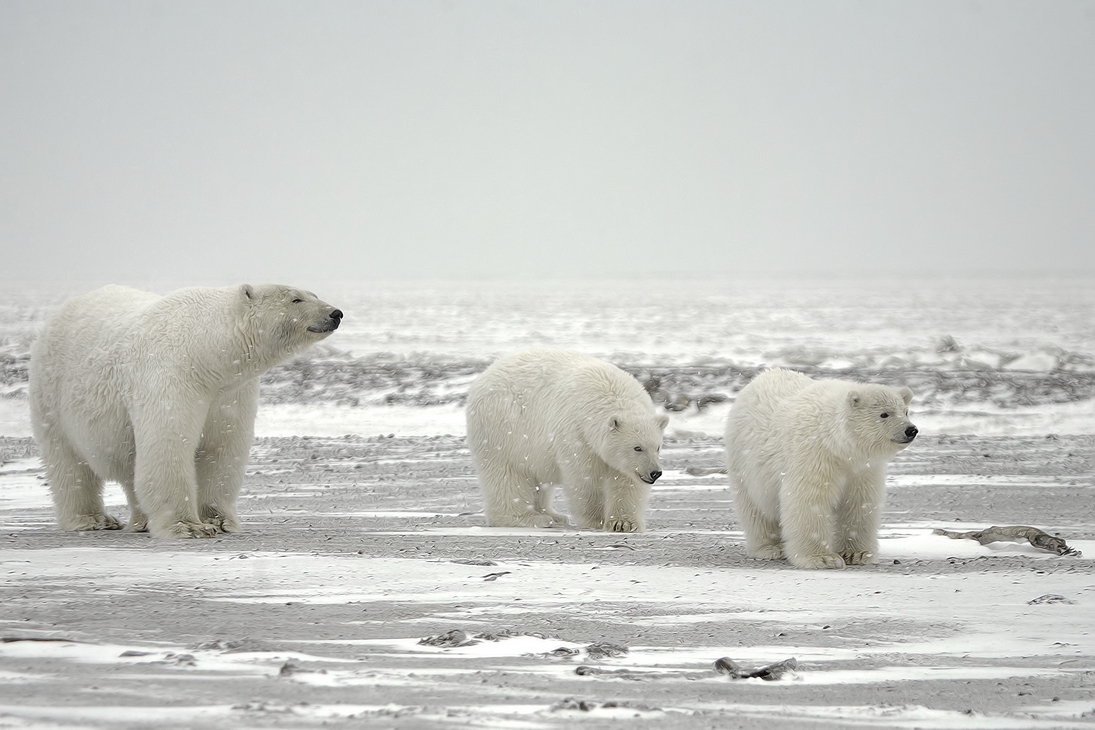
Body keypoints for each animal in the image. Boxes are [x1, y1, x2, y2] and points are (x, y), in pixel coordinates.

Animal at [28, 282, 341, 540]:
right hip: (51, 394)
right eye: (296, 299)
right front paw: (188, 526)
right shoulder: (171, 376)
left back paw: (141, 521)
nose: (336, 313)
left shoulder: (231, 393)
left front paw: (219, 521)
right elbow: (168, 445)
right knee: (69, 463)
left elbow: (221, 449)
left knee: (130, 462)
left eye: (313, 293)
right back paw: (93, 519)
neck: (205, 353)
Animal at [464, 348, 665, 531]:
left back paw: (553, 515)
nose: (655, 472)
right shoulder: (577, 434)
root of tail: (484, 375)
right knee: (507, 475)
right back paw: (531, 518)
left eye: (657, 447)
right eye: (637, 447)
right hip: (502, 428)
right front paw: (596, 520)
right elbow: (584, 478)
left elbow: (627, 482)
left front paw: (623, 523)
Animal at [722, 372, 919, 569]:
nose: (911, 430)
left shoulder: (862, 468)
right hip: (746, 462)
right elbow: (810, 500)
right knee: (756, 508)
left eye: (905, 411)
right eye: (884, 414)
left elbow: (859, 503)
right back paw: (770, 548)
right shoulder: (814, 455)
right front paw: (823, 558)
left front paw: (857, 554)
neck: (837, 443)